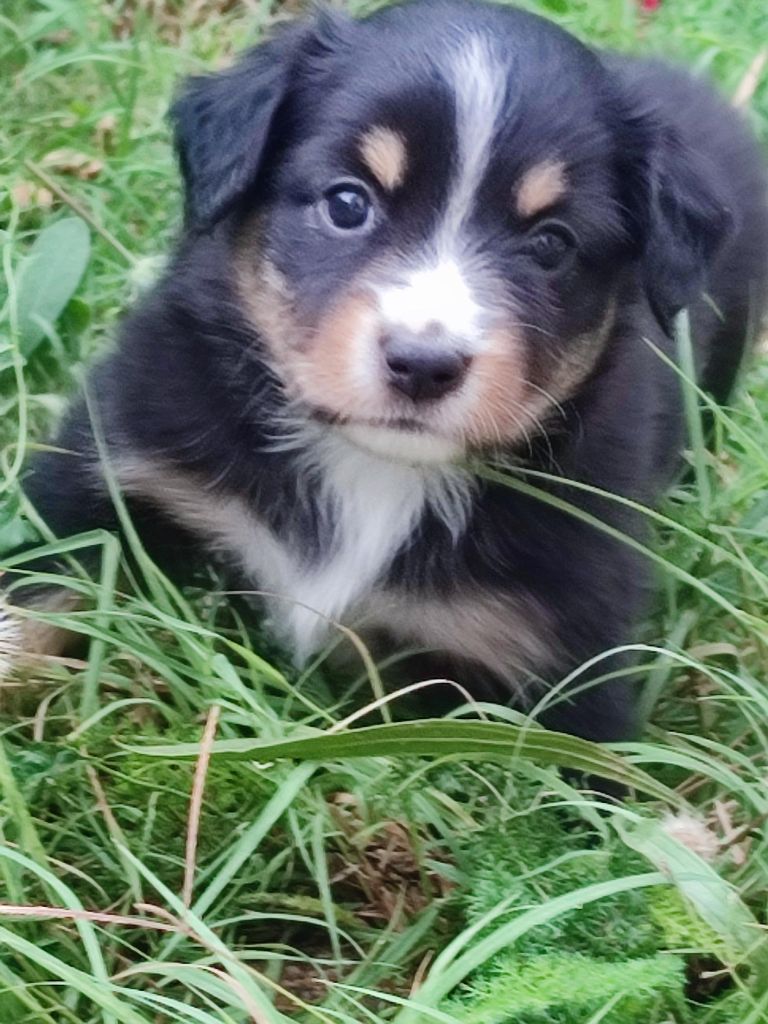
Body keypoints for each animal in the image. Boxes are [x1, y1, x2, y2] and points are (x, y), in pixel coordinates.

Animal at [5, 0, 768, 742]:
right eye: (347, 203)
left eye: (551, 244)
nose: (424, 365)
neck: (373, 468)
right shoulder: (113, 462)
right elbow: (38, 590)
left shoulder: (568, 662)